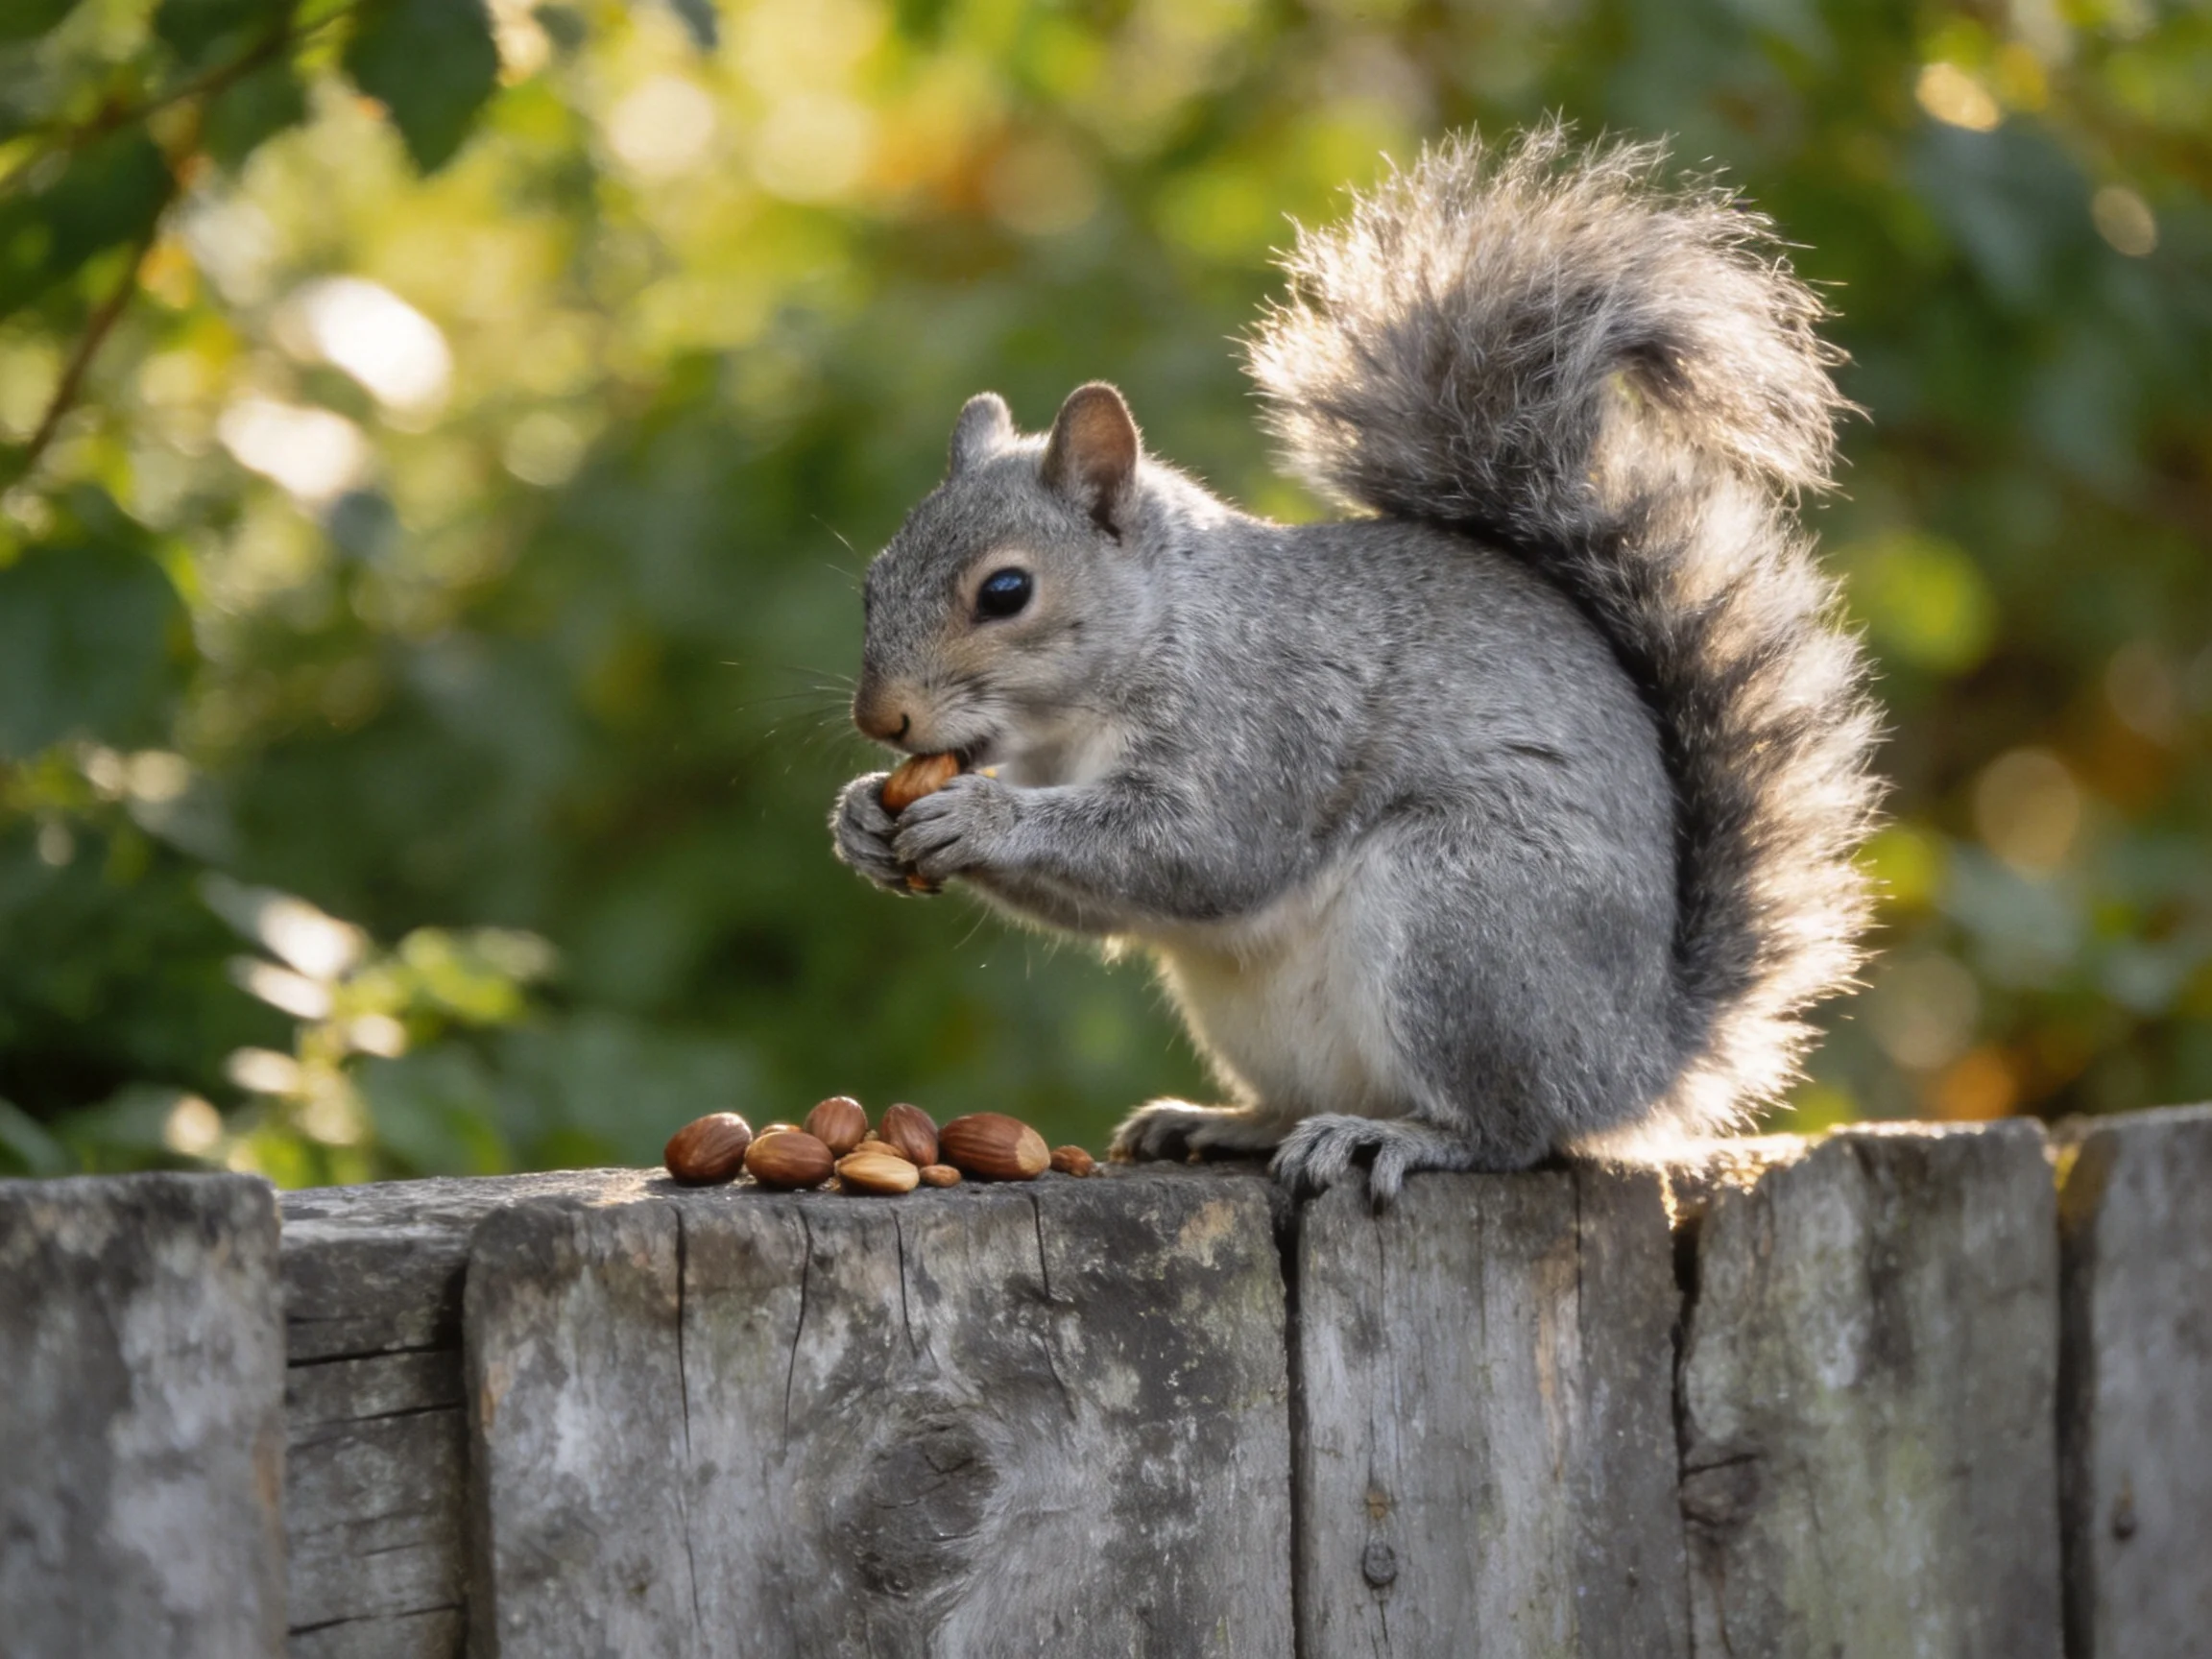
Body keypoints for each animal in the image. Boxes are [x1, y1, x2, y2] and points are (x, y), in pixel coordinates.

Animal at [831, 126, 1881, 1204]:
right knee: (1307, 1099)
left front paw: (978, 816)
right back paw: (1222, 1123)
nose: (882, 719)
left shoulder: (1264, 716)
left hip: (1461, 920)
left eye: (1006, 592)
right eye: (873, 580)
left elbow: (1199, 850)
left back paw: (1398, 1138)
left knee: (1511, 1131)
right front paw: (864, 815)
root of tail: (1641, 1058)